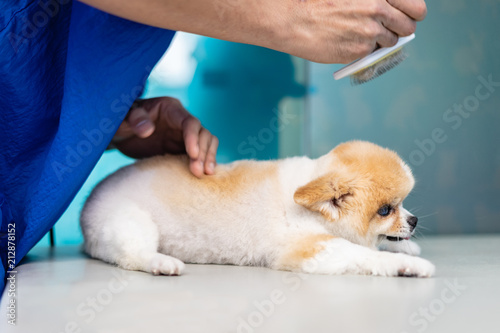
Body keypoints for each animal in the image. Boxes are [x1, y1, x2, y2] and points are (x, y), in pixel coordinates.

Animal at [81, 141, 434, 276]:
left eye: (403, 206)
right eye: (386, 210)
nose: (415, 220)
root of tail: (91, 196)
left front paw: (407, 249)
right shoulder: (311, 248)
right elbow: (364, 255)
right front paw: (408, 265)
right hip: (130, 221)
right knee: (133, 255)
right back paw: (161, 262)